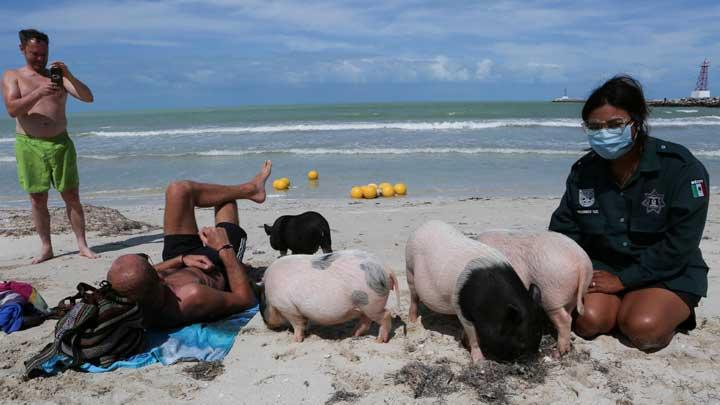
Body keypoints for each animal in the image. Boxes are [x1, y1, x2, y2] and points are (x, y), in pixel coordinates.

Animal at [258, 249, 400, 340]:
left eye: (262, 303)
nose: (267, 324)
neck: (269, 293)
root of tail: (386, 269)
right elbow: (303, 322)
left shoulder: (287, 307)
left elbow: (297, 324)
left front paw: (295, 341)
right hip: (364, 305)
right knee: (366, 320)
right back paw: (354, 334)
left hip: (371, 303)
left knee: (386, 314)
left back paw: (379, 340)